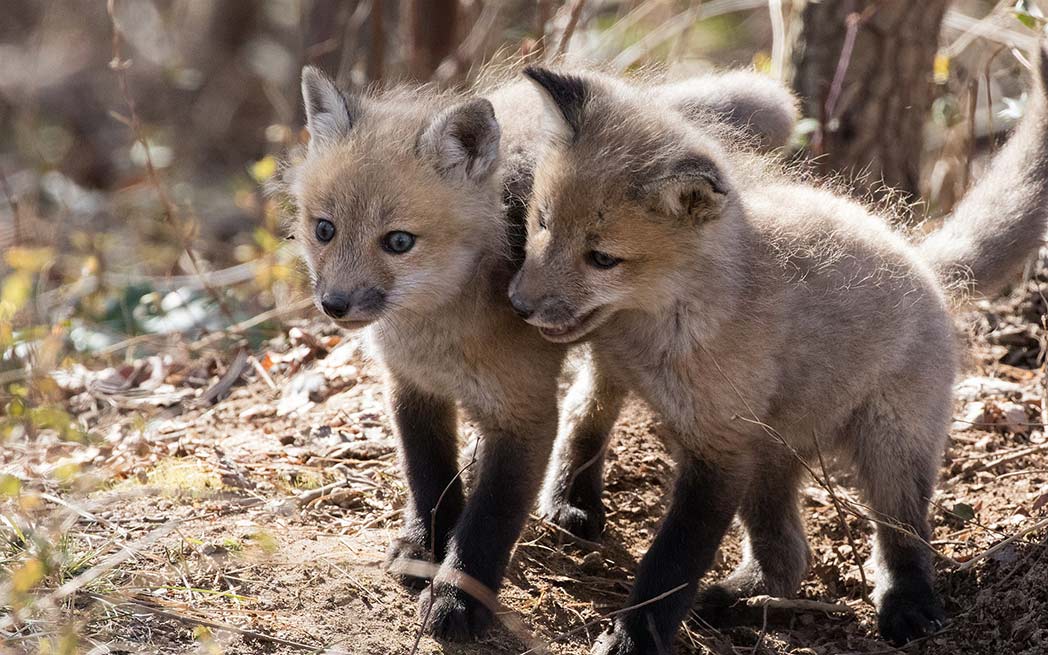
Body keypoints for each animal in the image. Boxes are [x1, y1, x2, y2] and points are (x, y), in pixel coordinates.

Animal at [284, 64, 798, 642]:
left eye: (398, 242)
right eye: (324, 229)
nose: (334, 304)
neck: (434, 336)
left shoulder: (524, 413)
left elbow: (491, 517)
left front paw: (458, 599)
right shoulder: (411, 387)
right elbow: (429, 476)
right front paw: (425, 548)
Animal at [509, 45, 1048, 654]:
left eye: (602, 258)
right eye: (542, 222)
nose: (519, 305)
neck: (652, 325)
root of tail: (925, 264)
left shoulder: (720, 449)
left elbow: (672, 562)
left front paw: (635, 635)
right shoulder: (612, 364)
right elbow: (583, 422)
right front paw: (570, 501)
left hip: (889, 447)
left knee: (903, 537)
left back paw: (907, 605)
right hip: (770, 457)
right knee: (789, 556)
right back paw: (736, 599)